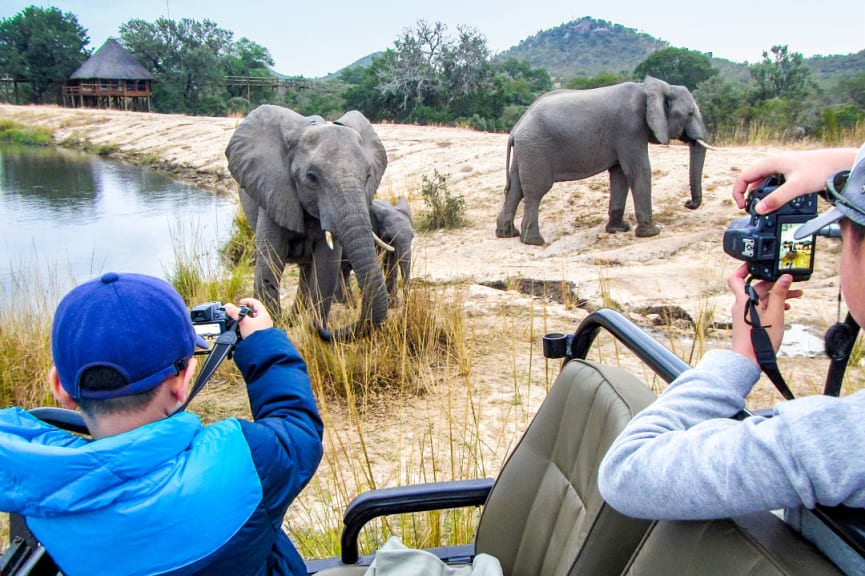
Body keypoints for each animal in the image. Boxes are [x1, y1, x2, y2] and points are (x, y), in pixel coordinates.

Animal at [224, 104, 386, 342]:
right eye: (312, 177)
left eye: (368, 176)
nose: (321, 328)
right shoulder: (275, 190)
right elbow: (269, 264)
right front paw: (276, 326)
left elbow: (326, 266)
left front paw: (311, 325)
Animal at [492, 75, 708, 244]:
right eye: (690, 113)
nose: (688, 203)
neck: (654, 88)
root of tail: (516, 129)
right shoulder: (631, 128)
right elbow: (638, 171)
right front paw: (651, 233)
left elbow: (620, 175)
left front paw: (618, 230)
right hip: (536, 149)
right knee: (536, 192)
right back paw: (534, 241)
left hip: (526, 150)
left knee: (515, 188)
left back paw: (508, 234)